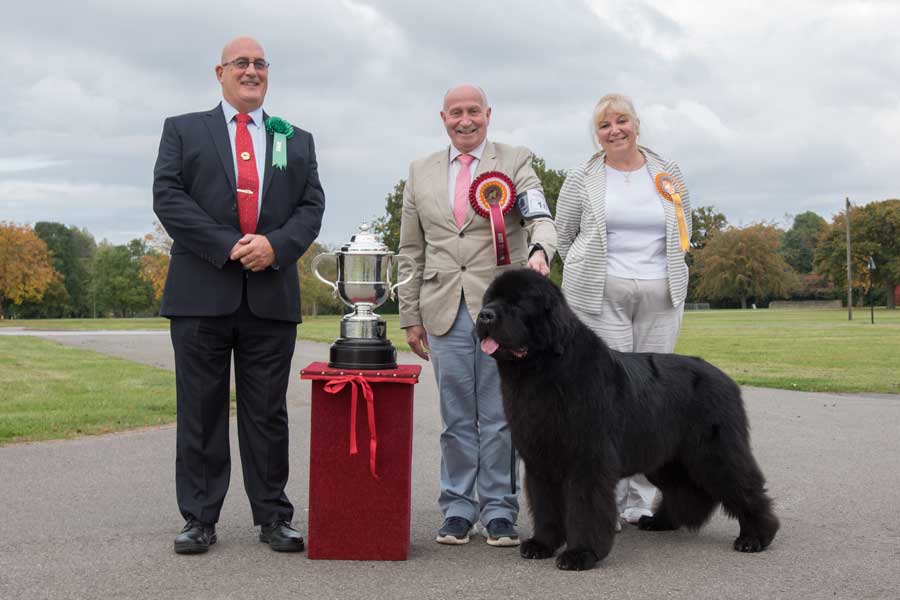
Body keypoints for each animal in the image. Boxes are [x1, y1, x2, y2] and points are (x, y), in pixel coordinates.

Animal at [478, 270, 780, 568]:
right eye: (489, 299)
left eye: (517, 303)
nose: (484, 316)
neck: (543, 370)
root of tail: (727, 379)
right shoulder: (540, 458)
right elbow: (545, 505)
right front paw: (542, 544)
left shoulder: (587, 458)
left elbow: (585, 507)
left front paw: (581, 554)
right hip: (666, 457)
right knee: (682, 488)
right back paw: (660, 521)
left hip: (714, 452)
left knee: (743, 486)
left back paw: (755, 537)